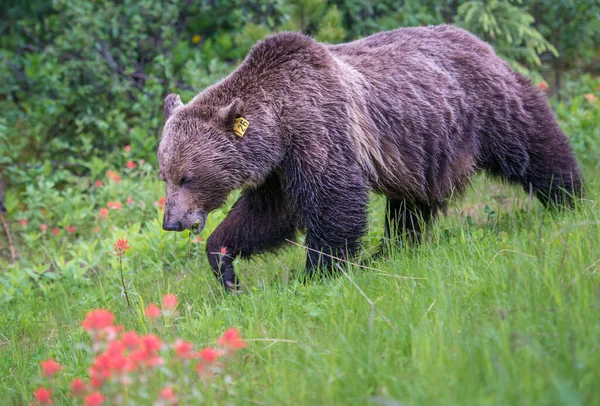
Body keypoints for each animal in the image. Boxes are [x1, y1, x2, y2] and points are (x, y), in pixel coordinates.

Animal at [158, 24, 580, 288]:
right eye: (165, 174)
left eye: (187, 176)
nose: (172, 222)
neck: (280, 123)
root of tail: (477, 39)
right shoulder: (277, 169)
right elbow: (266, 217)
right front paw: (225, 266)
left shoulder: (319, 131)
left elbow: (334, 203)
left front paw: (318, 271)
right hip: (422, 147)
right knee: (412, 203)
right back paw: (393, 248)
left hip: (485, 105)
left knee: (531, 144)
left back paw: (570, 197)